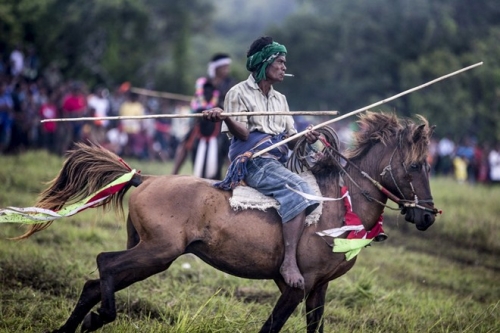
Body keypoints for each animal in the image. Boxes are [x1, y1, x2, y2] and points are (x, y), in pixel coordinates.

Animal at [16, 111, 438, 330]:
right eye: (417, 165)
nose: (427, 216)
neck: (335, 204)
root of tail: (146, 178)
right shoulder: (296, 287)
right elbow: (271, 326)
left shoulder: (319, 288)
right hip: (159, 252)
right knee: (104, 265)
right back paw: (102, 316)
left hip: (146, 250)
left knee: (93, 283)